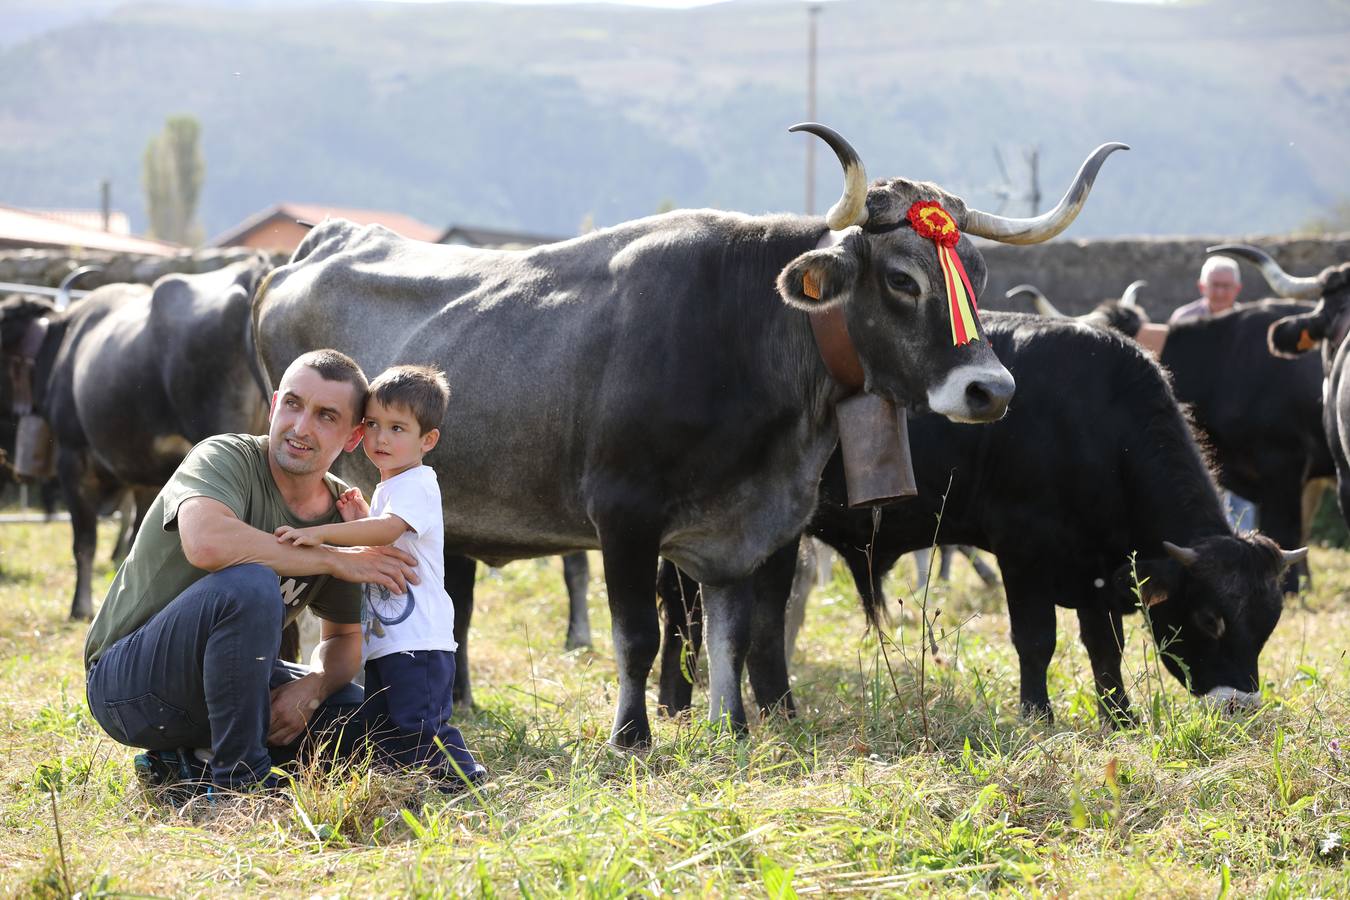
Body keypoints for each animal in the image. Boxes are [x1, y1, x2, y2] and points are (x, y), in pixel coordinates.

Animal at [0, 256, 274, 615]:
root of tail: (250, 274)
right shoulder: (150, 478)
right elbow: (139, 542)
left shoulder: (73, 459)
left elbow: (85, 541)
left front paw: (80, 607)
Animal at [257, 126, 1123, 744]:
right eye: (903, 279)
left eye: (976, 276)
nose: (991, 389)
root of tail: (322, 243)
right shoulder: (624, 516)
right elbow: (640, 634)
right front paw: (631, 736)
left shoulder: (750, 529)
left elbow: (735, 635)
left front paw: (733, 726)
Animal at [658, 315, 1301, 723]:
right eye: (1211, 617)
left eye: (1269, 622)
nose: (1241, 707)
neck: (1097, 421)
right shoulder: (1022, 549)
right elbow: (1036, 640)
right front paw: (1037, 715)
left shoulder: (1096, 567)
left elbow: (1104, 646)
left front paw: (1119, 718)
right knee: (724, 618)